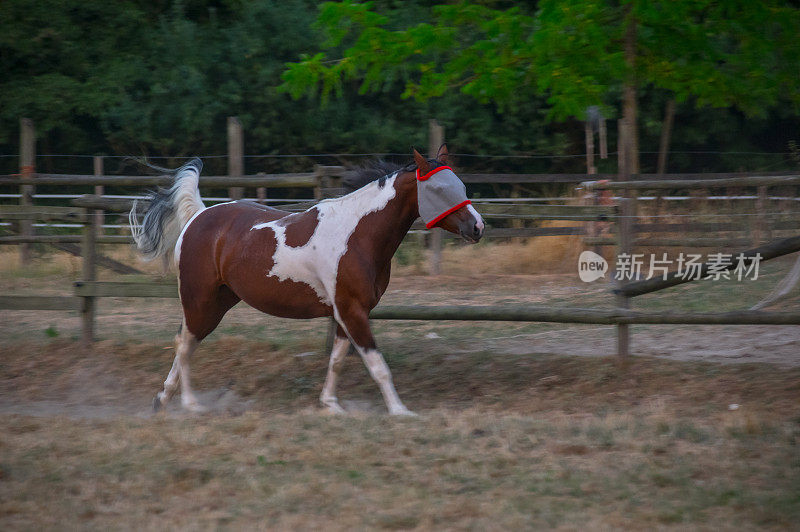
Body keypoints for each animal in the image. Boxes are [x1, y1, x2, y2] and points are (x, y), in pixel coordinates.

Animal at [130, 145, 488, 416]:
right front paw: (400, 411)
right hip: (200, 300)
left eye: (462, 186)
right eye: (439, 189)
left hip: (217, 303)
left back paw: (163, 399)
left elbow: (338, 361)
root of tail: (198, 216)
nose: (478, 228)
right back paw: (190, 405)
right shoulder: (352, 311)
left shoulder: (348, 312)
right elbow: (377, 364)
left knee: (186, 342)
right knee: (185, 344)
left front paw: (331, 405)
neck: (358, 234)